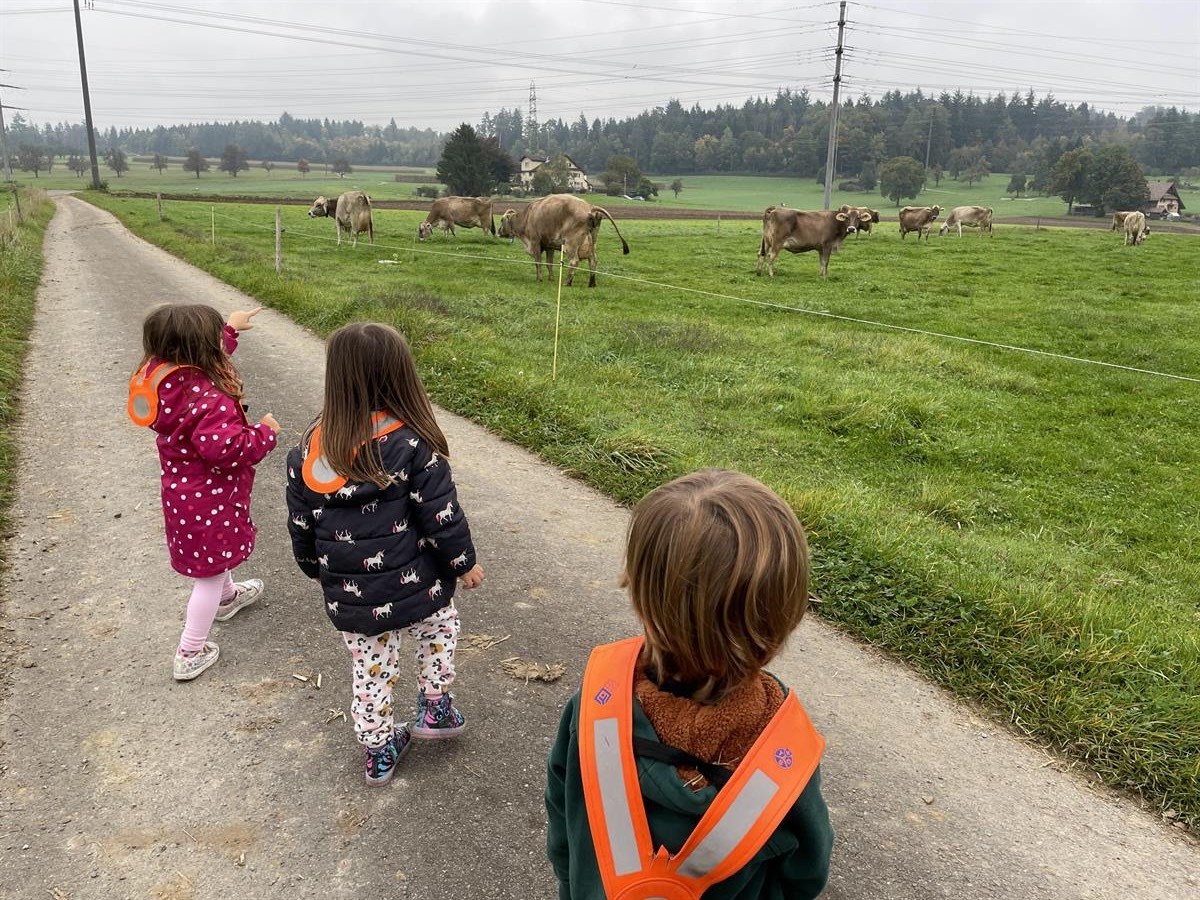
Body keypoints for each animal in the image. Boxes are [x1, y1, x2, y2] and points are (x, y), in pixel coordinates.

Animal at [494, 194, 628, 289]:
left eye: (501, 220)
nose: (498, 231)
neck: (527, 217)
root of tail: (589, 206)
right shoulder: (549, 245)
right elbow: (549, 263)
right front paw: (551, 278)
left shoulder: (535, 242)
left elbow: (538, 262)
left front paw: (539, 278)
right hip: (592, 242)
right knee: (593, 260)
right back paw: (591, 283)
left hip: (570, 243)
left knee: (574, 261)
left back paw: (567, 282)